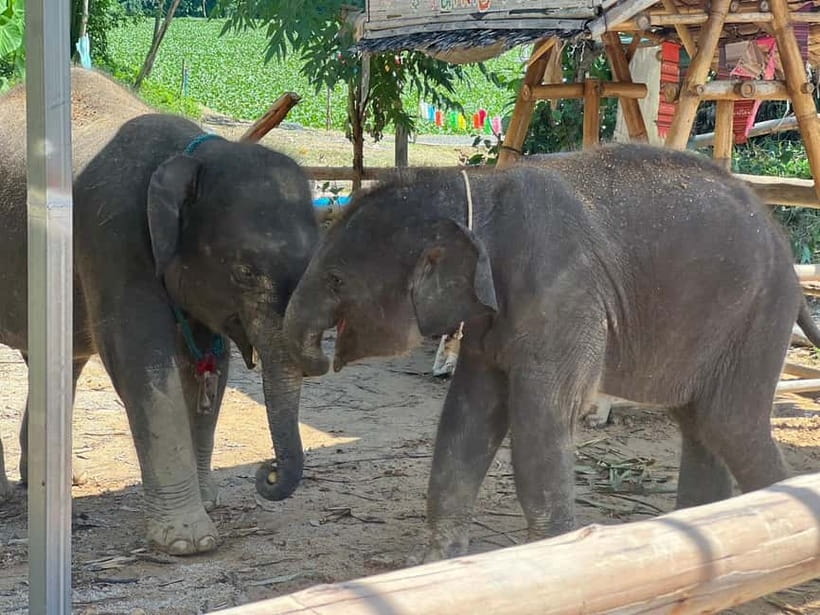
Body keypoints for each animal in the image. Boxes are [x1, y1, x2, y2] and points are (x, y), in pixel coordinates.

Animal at [0, 68, 319, 554]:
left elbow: (210, 366)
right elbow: (140, 360)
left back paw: (59, 483)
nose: (266, 472)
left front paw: (209, 502)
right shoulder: (112, 237)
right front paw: (189, 542)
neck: (192, 154)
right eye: (244, 272)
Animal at [283, 144, 820, 562]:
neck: (482, 192)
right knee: (699, 422)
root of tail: (782, 241)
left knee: (729, 422)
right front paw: (434, 564)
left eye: (336, 280)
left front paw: (551, 555)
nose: (317, 358)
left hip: (758, 313)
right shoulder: (492, 318)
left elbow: (540, 425)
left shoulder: (562, 298)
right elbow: (466, 419)